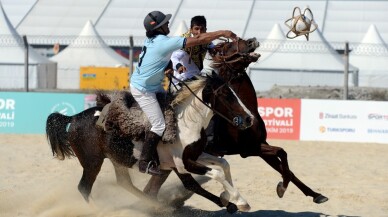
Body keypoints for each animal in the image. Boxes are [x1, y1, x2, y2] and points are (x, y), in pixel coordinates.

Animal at [46, 73, 252, 213]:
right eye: (226, 94)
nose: (249, 119)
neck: (185, 124)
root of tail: (74, 118)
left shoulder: (192, 157)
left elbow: (223, 164)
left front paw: (232, 199)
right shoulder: (183, 164)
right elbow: (213, 175)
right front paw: (236, 200)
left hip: (116, 160)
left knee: (124, 183)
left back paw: (155, 205)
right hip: (92, 162)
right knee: (84, 188)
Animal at [146, 37, 328, 205]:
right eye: (228, 46)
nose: (252, 40)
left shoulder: (260, 144)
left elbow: (285, 164)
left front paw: (316, 195)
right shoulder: (249, 149)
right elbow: (282, 155)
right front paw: (282, 188)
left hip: (169, 163)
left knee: (153, 188)